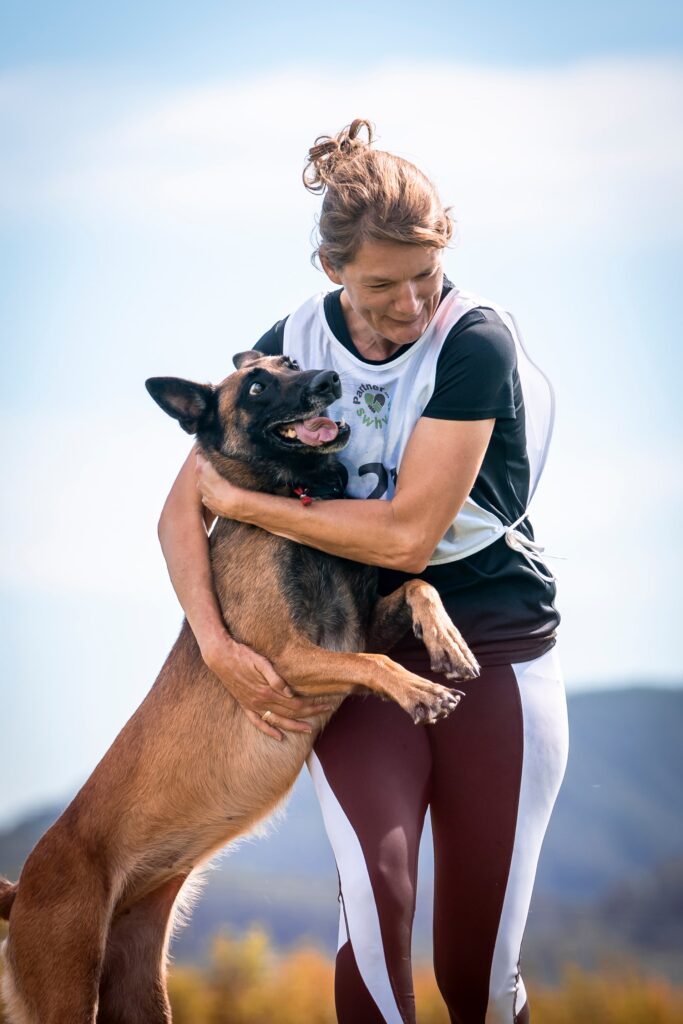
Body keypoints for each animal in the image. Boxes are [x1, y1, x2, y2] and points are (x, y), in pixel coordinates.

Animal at [0, 354, 481, 1024]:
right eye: (256, 386)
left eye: (291, 364)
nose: (328, 380)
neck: (291, 502)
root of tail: (21, 890)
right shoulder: (285, 659)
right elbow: (374, 660)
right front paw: (419, 691)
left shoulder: (352, 628)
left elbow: (416, 588)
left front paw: (448, 643)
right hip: (68, 993)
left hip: (140, 993)